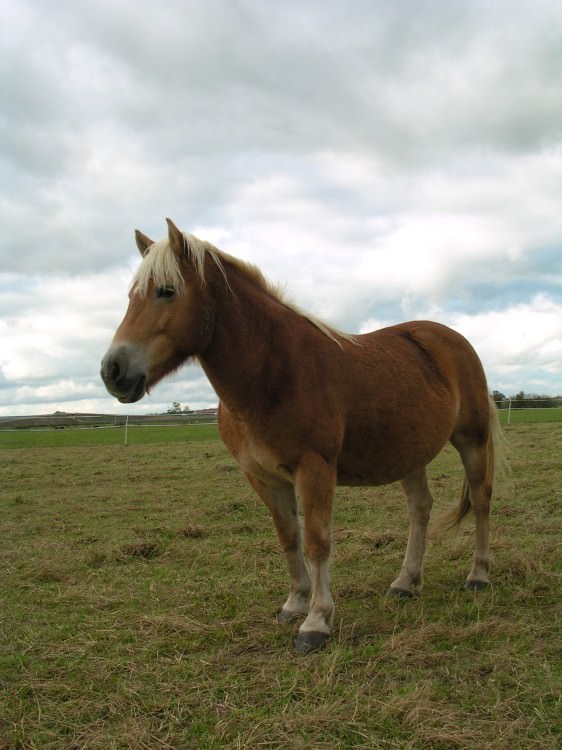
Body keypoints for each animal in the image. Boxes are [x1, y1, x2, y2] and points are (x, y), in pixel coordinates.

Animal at [101, 220, 504, 656]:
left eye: (166, 291)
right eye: (131, 296)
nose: (113, 371)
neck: (273, 372)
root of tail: (451, 339)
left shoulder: (314, 470)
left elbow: (316, 541)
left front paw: (316, 622)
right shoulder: (264, 478)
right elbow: (288, 537)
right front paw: (294, 604)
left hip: (472, 441)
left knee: (481, 500)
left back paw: (478, 575)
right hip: (410, 452)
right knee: (420, 509)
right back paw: (405, 582)